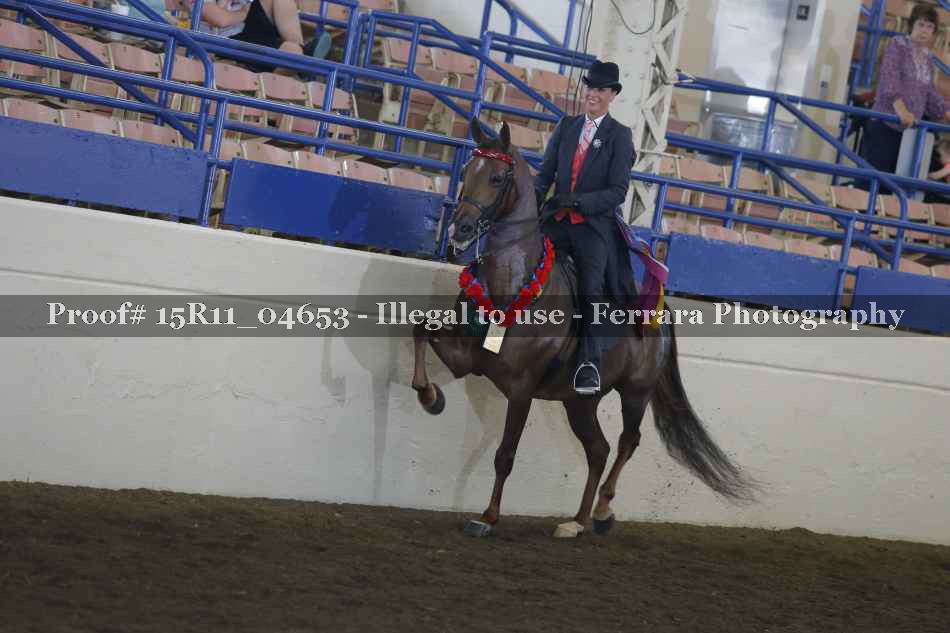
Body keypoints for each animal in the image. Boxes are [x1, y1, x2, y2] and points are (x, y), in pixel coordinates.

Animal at [411, 117, 757, 538]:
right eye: (466, 172)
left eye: (495, 177)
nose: (460, 229)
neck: (513, 282)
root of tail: (659, 315)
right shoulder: (468, 358)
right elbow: (421, 329)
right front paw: (431, 397)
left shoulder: (522, 388)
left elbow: (505, 454)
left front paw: (487, 518)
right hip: (579, 401)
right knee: (598, 450)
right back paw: (578, 521)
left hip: (636, 392)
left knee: (627, 442)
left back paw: (604, 511)